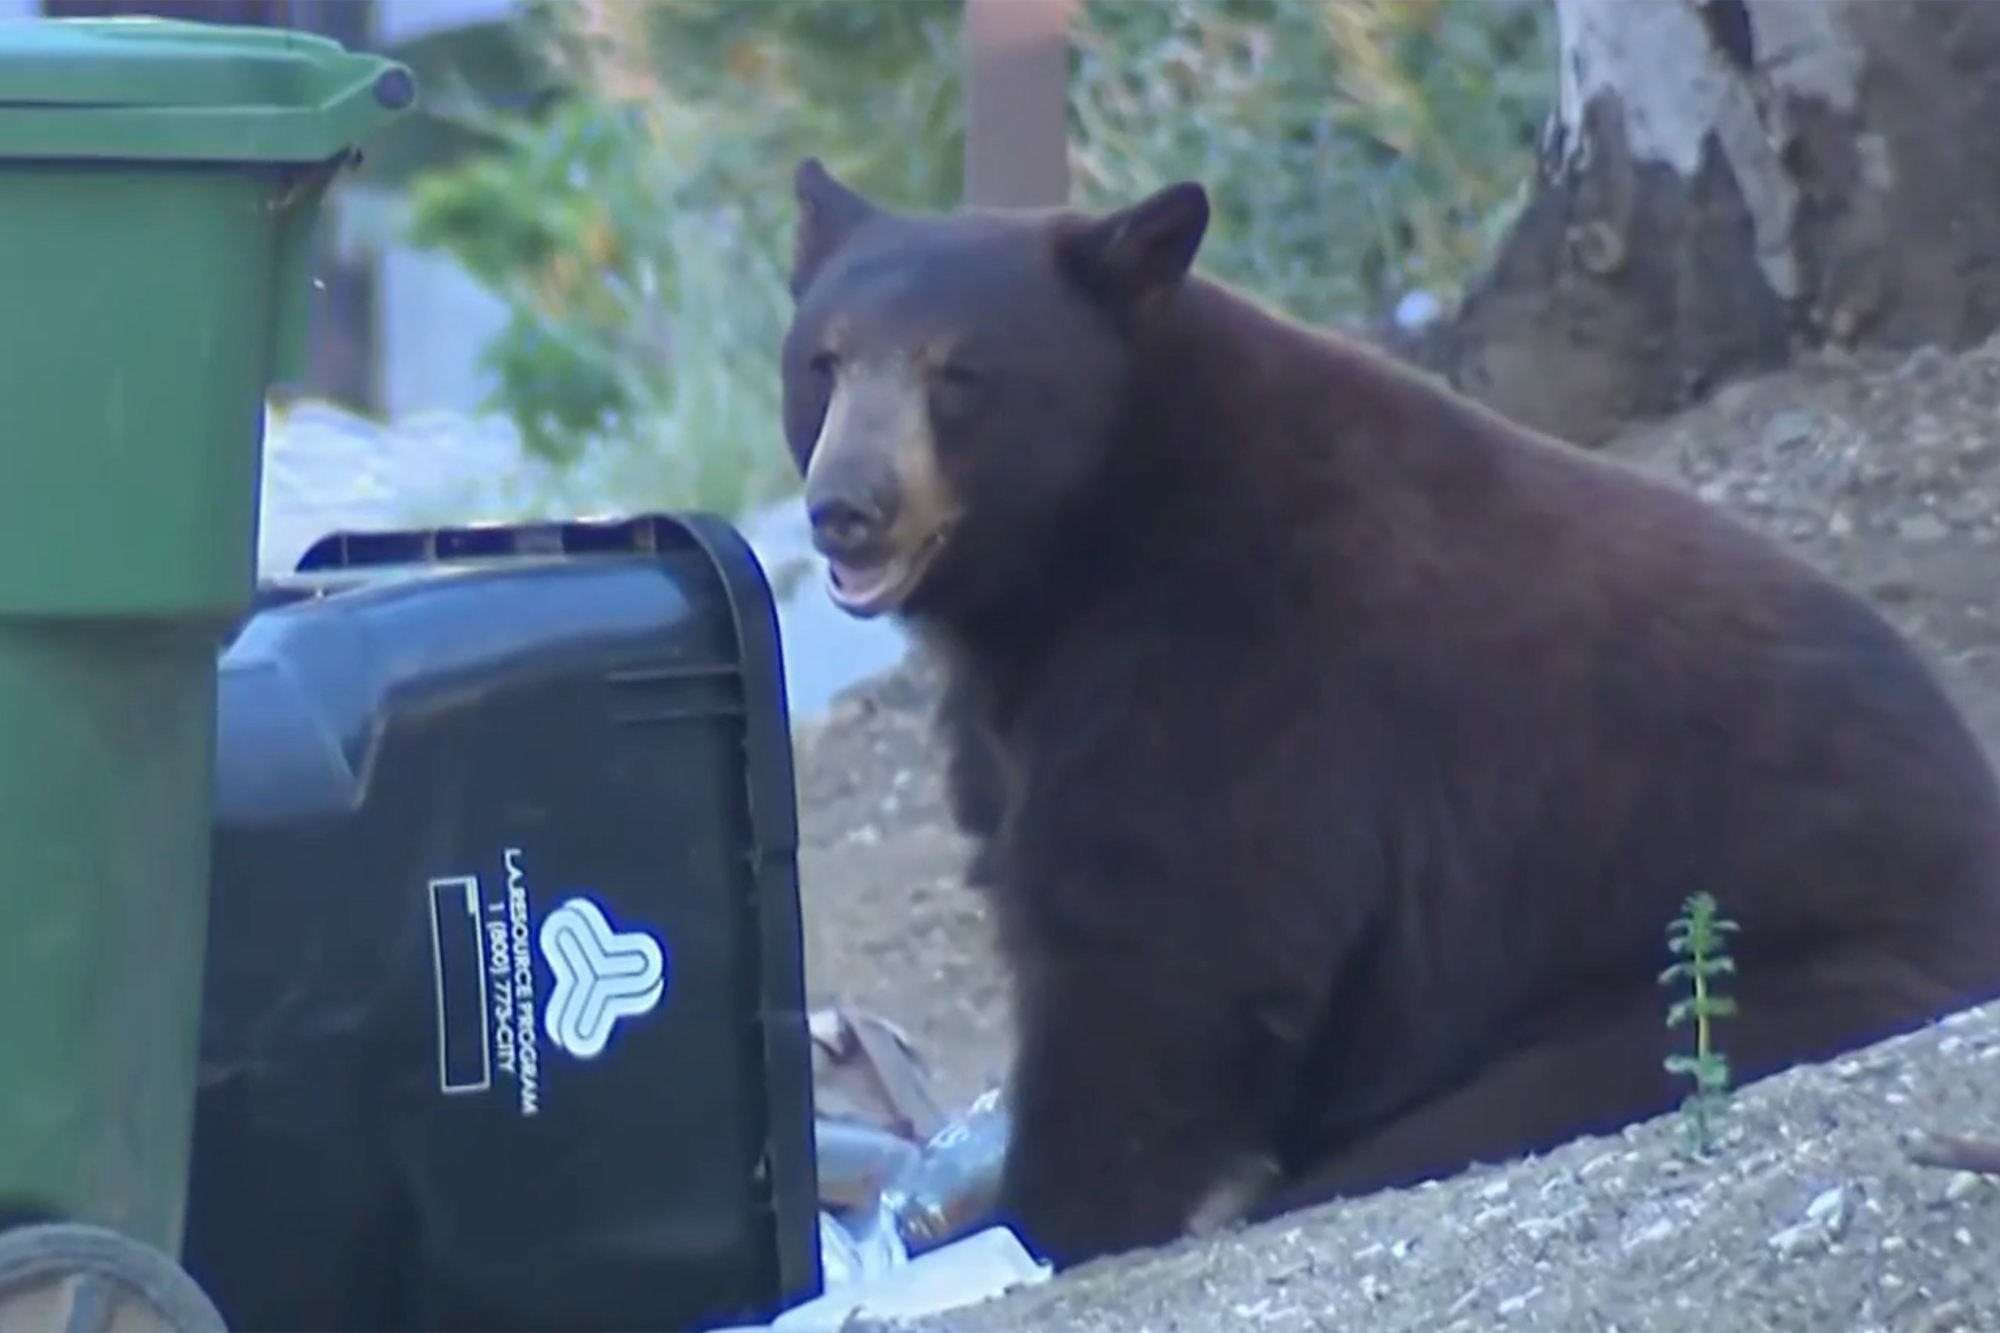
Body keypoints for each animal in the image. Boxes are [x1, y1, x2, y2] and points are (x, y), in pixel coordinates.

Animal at [779, 157, 2000, 1272]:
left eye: (960, 373)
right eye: (821, 363)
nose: (845, 508)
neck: (1085, 538)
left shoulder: (1240, 665)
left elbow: (1167, 944)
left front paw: (1058, 1215)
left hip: (1751, 972)